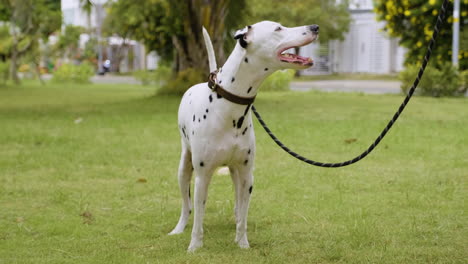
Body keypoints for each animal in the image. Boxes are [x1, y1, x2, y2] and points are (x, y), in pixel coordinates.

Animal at [170, 20, 320, 252]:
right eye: (278, 29)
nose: (314, 27)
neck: (227, 107)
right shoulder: (202, 177)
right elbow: (198, 218)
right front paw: (195, 245)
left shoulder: (247, 175)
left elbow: (244, 213)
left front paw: (242, 242)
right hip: (184, 169)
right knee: (187, 207)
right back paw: (179, 228)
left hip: (235, 173)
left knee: (237, 203)